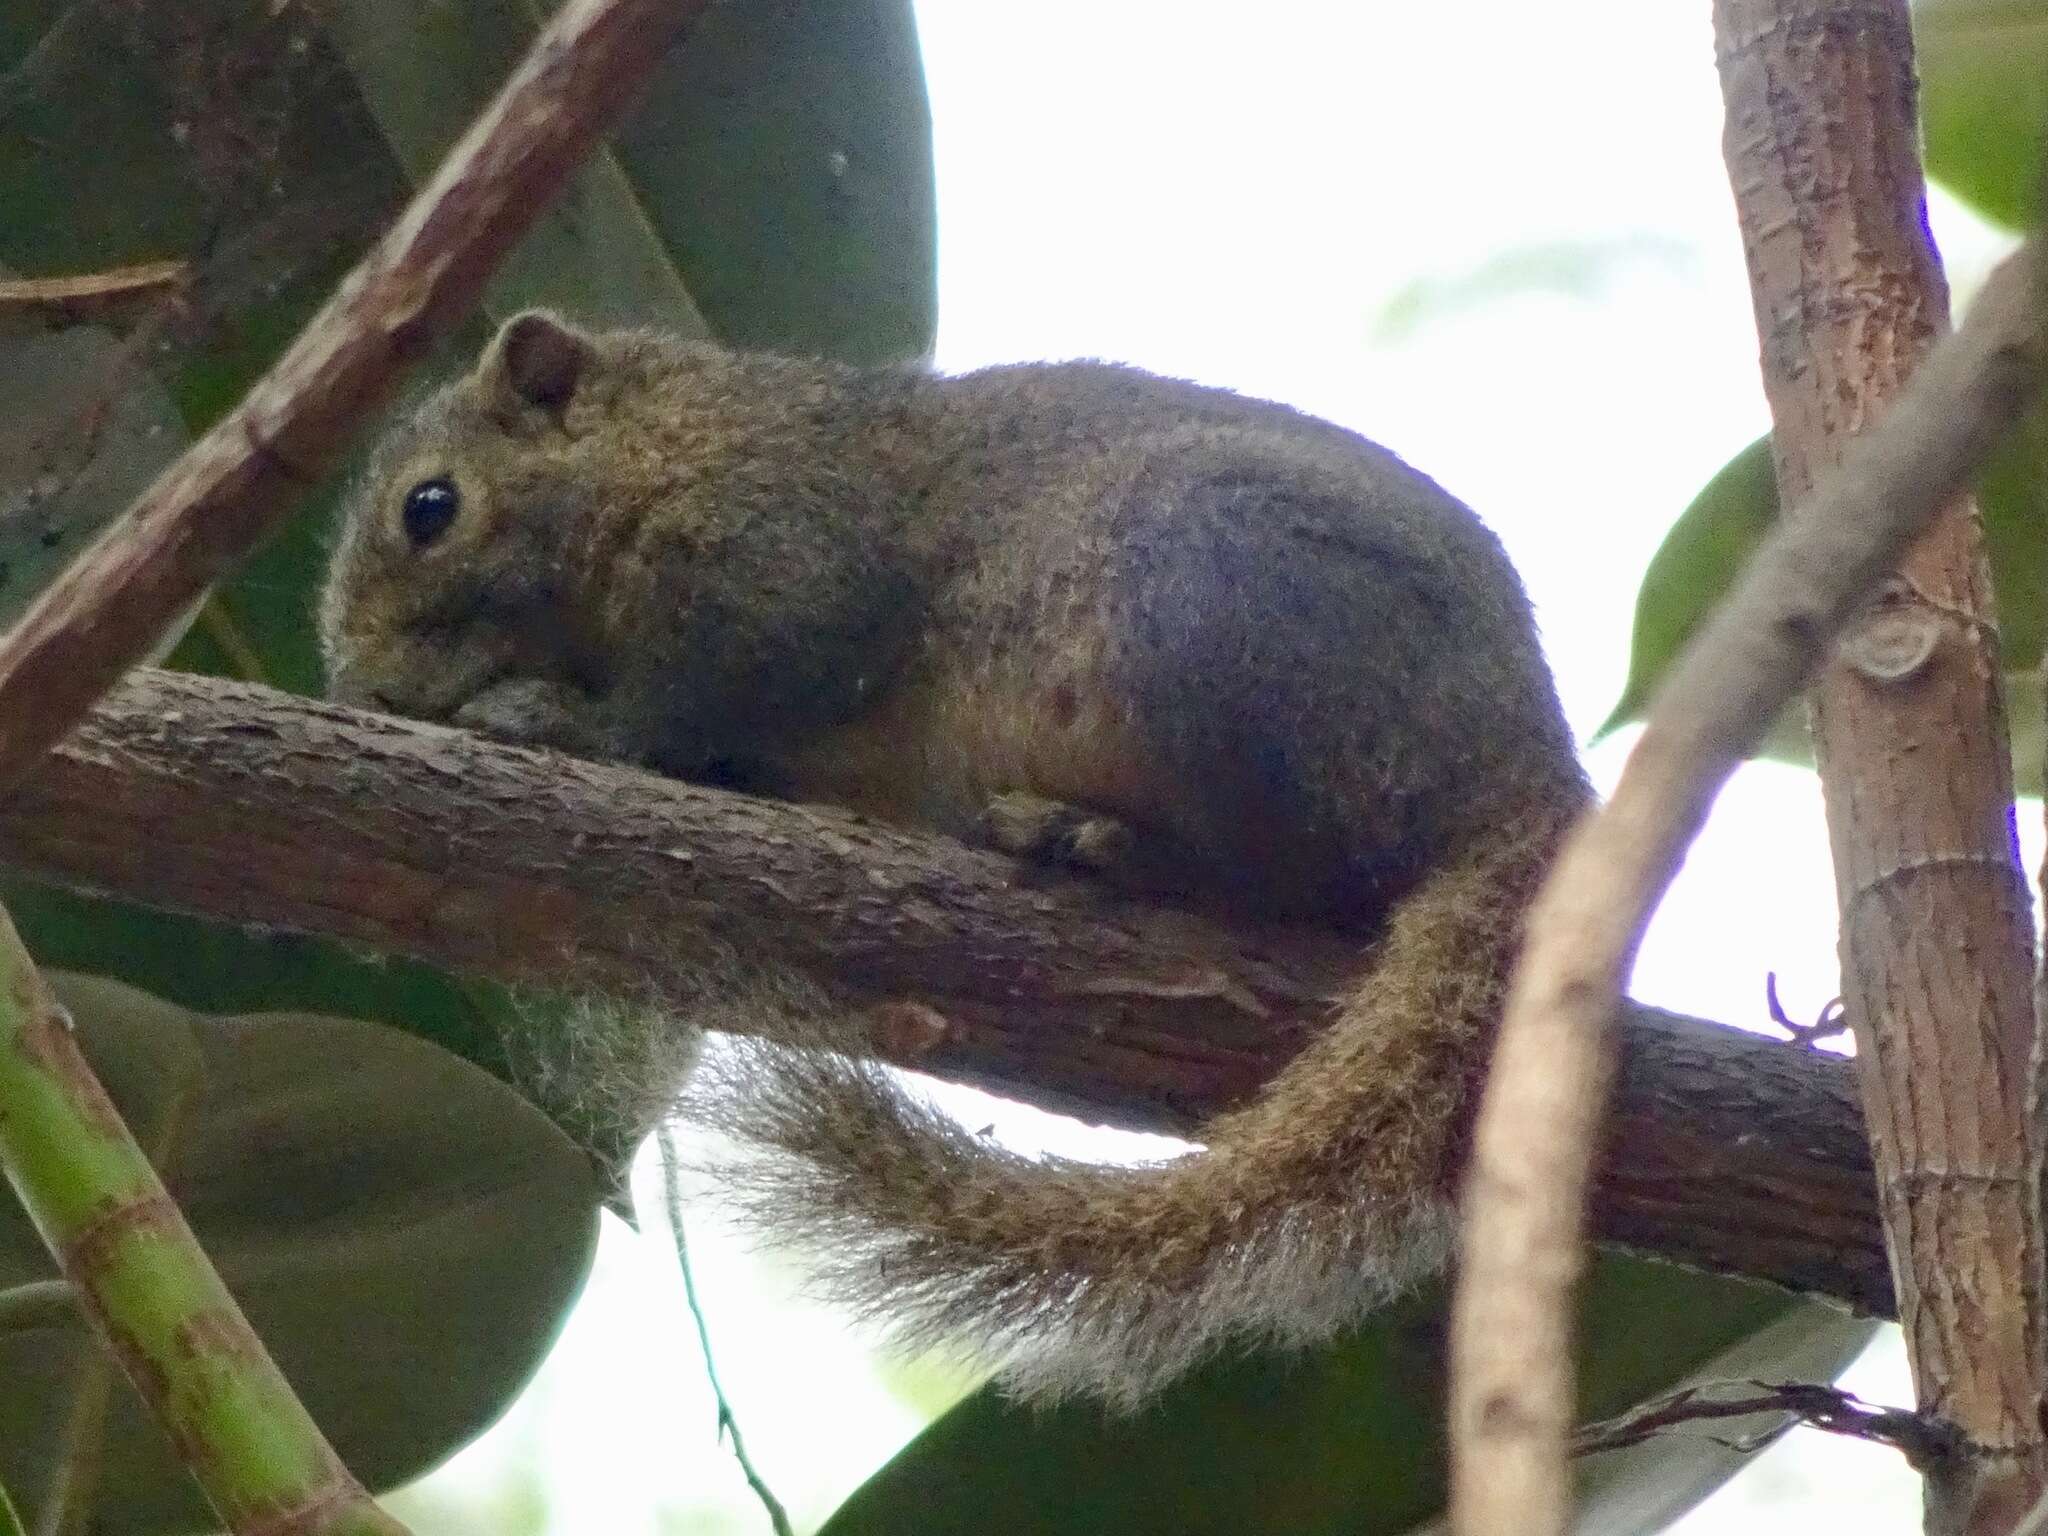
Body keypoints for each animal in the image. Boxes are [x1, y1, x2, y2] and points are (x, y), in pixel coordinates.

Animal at [323, 309, 1597, 1409]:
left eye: (430, 508)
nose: (364, 688)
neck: (678, 437)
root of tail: (1522, 759)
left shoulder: (787, 558)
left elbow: (691, 699)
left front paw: (551, 717)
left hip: (1206, 599)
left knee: (1284, 872)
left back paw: (1103, 844)